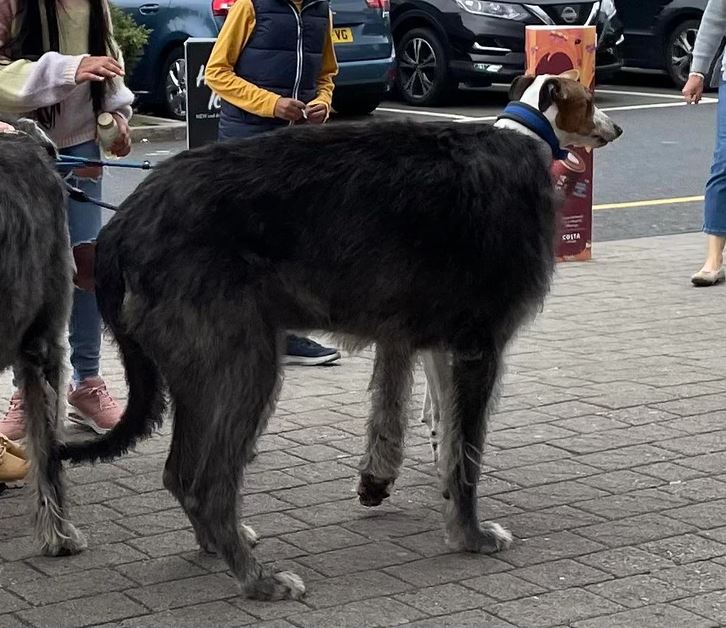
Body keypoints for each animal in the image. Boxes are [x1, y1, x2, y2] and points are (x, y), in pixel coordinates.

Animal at [59, 73, 621, 601]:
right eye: (590, 98)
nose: (614, 130)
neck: (526, 135)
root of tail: (121, 226)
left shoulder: (444, 348)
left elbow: (447, 442)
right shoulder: (479, 346)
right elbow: (467, 455)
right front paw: (473, 536)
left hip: (200, 370)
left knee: (179, 473)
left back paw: (219, 546)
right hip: (243, 362)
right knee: (207, 485)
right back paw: (257, 580)